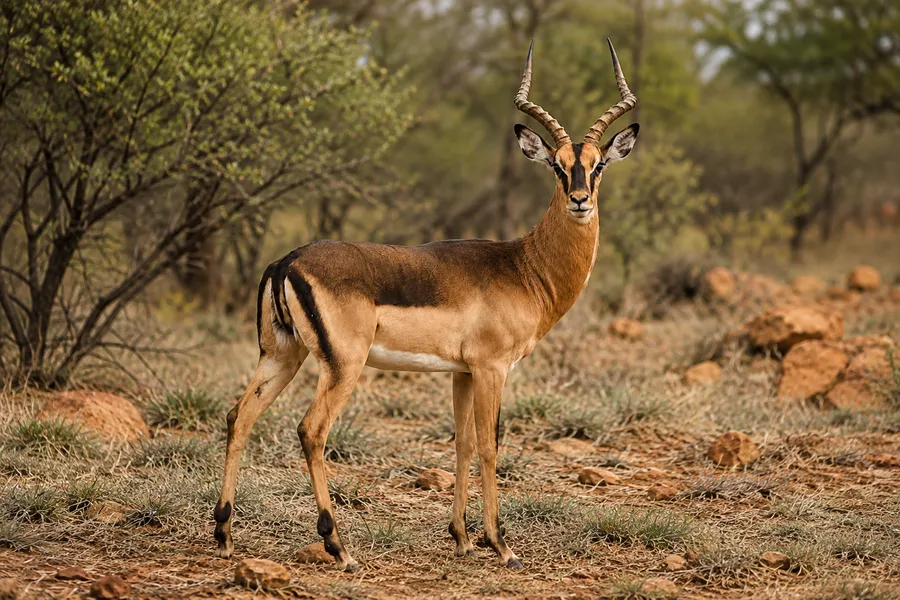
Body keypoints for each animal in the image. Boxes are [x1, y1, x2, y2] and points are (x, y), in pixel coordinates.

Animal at [214, 39, 639, 571]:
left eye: (598, 163)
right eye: (557, 165)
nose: (580, 199)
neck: (522, 266)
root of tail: (286, 260)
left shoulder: (462, 372)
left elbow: (462, 443)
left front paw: (460, 538)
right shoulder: (492, 368)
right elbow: (490, 446)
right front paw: (500, 544)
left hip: (281, 356)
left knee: (239, 417)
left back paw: (225, 535)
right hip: (342, 366)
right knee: (311, 430)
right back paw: (339, 548)